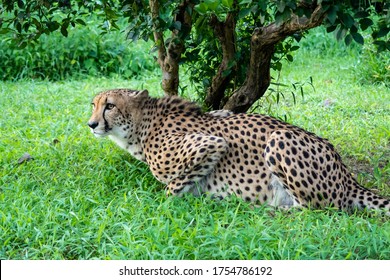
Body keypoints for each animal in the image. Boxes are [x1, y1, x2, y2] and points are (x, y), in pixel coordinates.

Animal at [88, 88, 390, 213]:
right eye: (93, 104)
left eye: (110, 106)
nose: (91, 124)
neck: (143, 125)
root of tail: (346, 174)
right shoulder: (220, 115)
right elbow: (221, 113)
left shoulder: (210, 144)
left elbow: (171, 189)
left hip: (279, 138)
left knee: (319, 209)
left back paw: (262, 209)